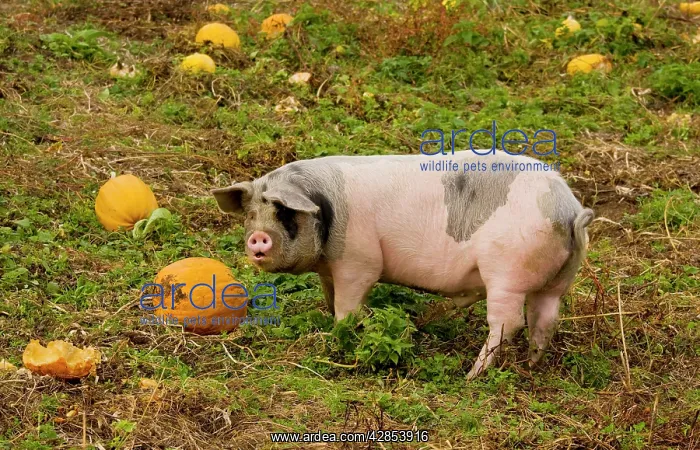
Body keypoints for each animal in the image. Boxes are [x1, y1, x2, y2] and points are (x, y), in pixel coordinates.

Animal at [212, 150, 594, 379]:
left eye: (284, 212)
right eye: (251, 214)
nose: (257, 238)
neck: (328, 207)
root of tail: (569, 211)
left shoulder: (358, 262)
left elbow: (347, 308)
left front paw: (340, 337)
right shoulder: (330, 271)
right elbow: (330, 299)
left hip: (506, 275)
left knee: (508, 323)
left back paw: (471, 375)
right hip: (557, 280)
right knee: (545, 319)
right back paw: (531, 364)